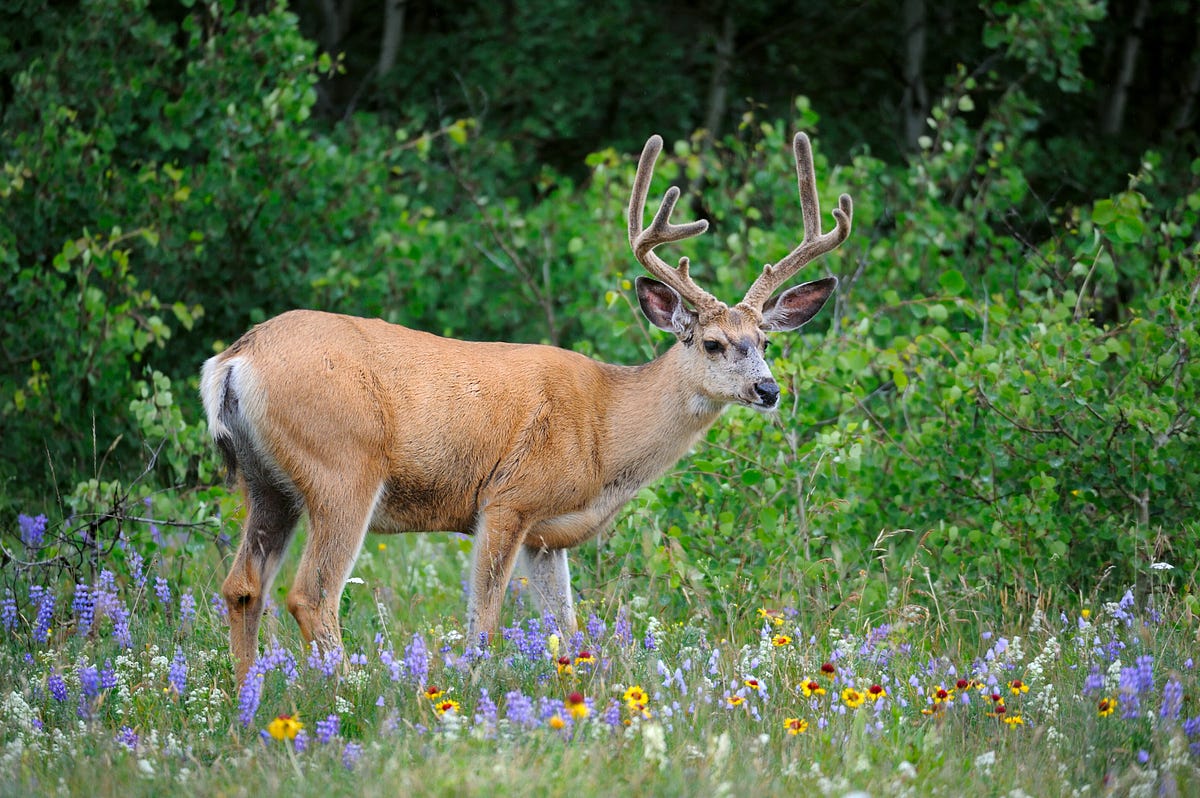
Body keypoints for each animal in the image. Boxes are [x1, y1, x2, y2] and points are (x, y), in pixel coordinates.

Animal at [201, 132, 852, 684]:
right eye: (713, 343)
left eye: (765, 340)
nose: (768, 390)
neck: (606, 428)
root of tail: (235, 360)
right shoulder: (506, 500)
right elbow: (483, 624)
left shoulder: (548, 535)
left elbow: (570, 629)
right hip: (342, 467)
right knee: (311, 595)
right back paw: (350, 694)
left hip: (267, 481)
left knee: (242, 586)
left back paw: (248, 697)